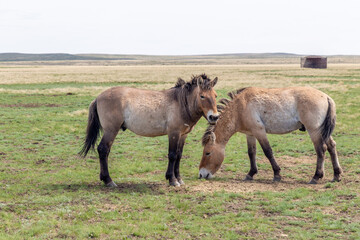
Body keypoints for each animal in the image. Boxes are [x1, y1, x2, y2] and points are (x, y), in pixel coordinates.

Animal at [80, 74, 218, 187]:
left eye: (215, 95)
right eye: (202, 96)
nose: (214, 117)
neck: (180, 102)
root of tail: (98, 97)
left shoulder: (183, 135)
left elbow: (179, 155)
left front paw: (179, 179)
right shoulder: (173, 133)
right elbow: (172, 155)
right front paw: (172, 180)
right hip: (111, 131)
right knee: (103, 150)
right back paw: (108, 180)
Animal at [200, 86, 344, 184]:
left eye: (207, 153)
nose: (201, 174)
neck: (240, 108)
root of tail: (326, 97)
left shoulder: (259, 131)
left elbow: (268, 151)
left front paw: (277, 174)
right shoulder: (250, 134)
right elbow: (251, 153)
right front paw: (250, 174)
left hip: (314, 130)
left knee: (321, 150)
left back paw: (316, 176)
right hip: (322, 131)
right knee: (331, 146)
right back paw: (336, 175)